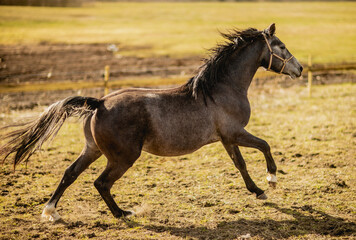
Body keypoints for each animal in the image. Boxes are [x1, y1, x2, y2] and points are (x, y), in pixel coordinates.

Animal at [0, 23, 304, 221]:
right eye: (282, 46)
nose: (299, 69)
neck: (220, 89)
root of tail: (99, 103)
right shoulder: (235, 132)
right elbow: (264, 146)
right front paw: (272, 179)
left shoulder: (227, 138)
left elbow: (240, 164)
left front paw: (258, 191)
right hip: (123, 157)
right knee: (101, 183)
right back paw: (122, 213)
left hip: (92, 149)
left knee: (70, 174)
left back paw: (50, 212)